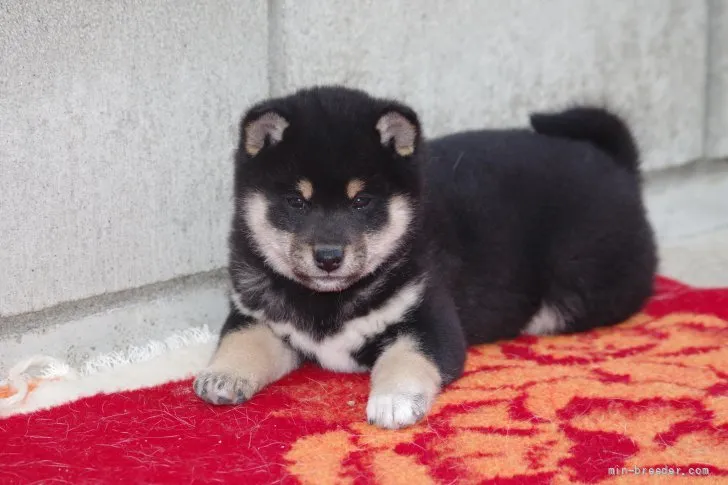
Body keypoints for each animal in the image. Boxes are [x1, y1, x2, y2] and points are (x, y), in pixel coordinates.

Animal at [192, 86, 656, 428]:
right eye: (295, 201)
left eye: (361, 201)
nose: (328, 257)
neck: (327, 302)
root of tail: (617, 166)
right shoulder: (261, 315)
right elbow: (241, 340)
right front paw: (223, 374)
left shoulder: (427, 318)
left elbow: (406, 358)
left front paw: (393, 399)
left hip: (583, 286)